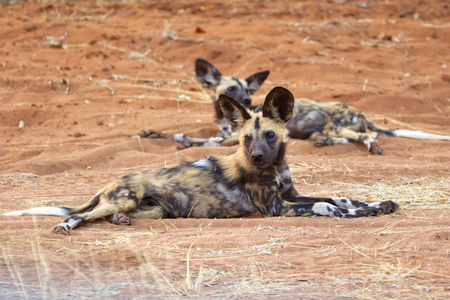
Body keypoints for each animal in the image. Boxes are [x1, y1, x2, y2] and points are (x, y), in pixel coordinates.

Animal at [3, 86, 398, 234]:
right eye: (246, 139)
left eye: (270, 135)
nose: (257, 155)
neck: (272, 167)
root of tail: (112, 183)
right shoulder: (277, 208)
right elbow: (328, 207)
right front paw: (361, 213)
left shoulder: (291, 195)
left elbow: (339, 197)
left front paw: (379, 204)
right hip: (126, 197)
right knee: (83, 214)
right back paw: (67, 225)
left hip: (156, 210)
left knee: (112, 215)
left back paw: (118, 221)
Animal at [142, 58, 450, 155]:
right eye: (231, 89)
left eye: (248, 91)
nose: (247, 102)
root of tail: (360, 111)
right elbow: (182, 134)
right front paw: (153, 134)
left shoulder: (228, 139)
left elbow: (198, 141)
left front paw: (184, 144)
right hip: (327, 130)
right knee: (344, 138)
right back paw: (324, 143)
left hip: (339, 125)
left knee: (367, 135)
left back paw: (371, 146)